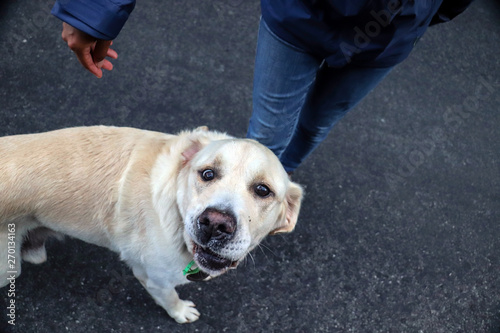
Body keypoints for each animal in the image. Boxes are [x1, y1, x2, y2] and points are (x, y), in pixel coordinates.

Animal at [0, 126, 302, 322]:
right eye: (207, 174)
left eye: (263, 190)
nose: (215, 224)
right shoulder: (154, 278)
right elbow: (170, 298)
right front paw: (181, 313)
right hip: (8, 268)